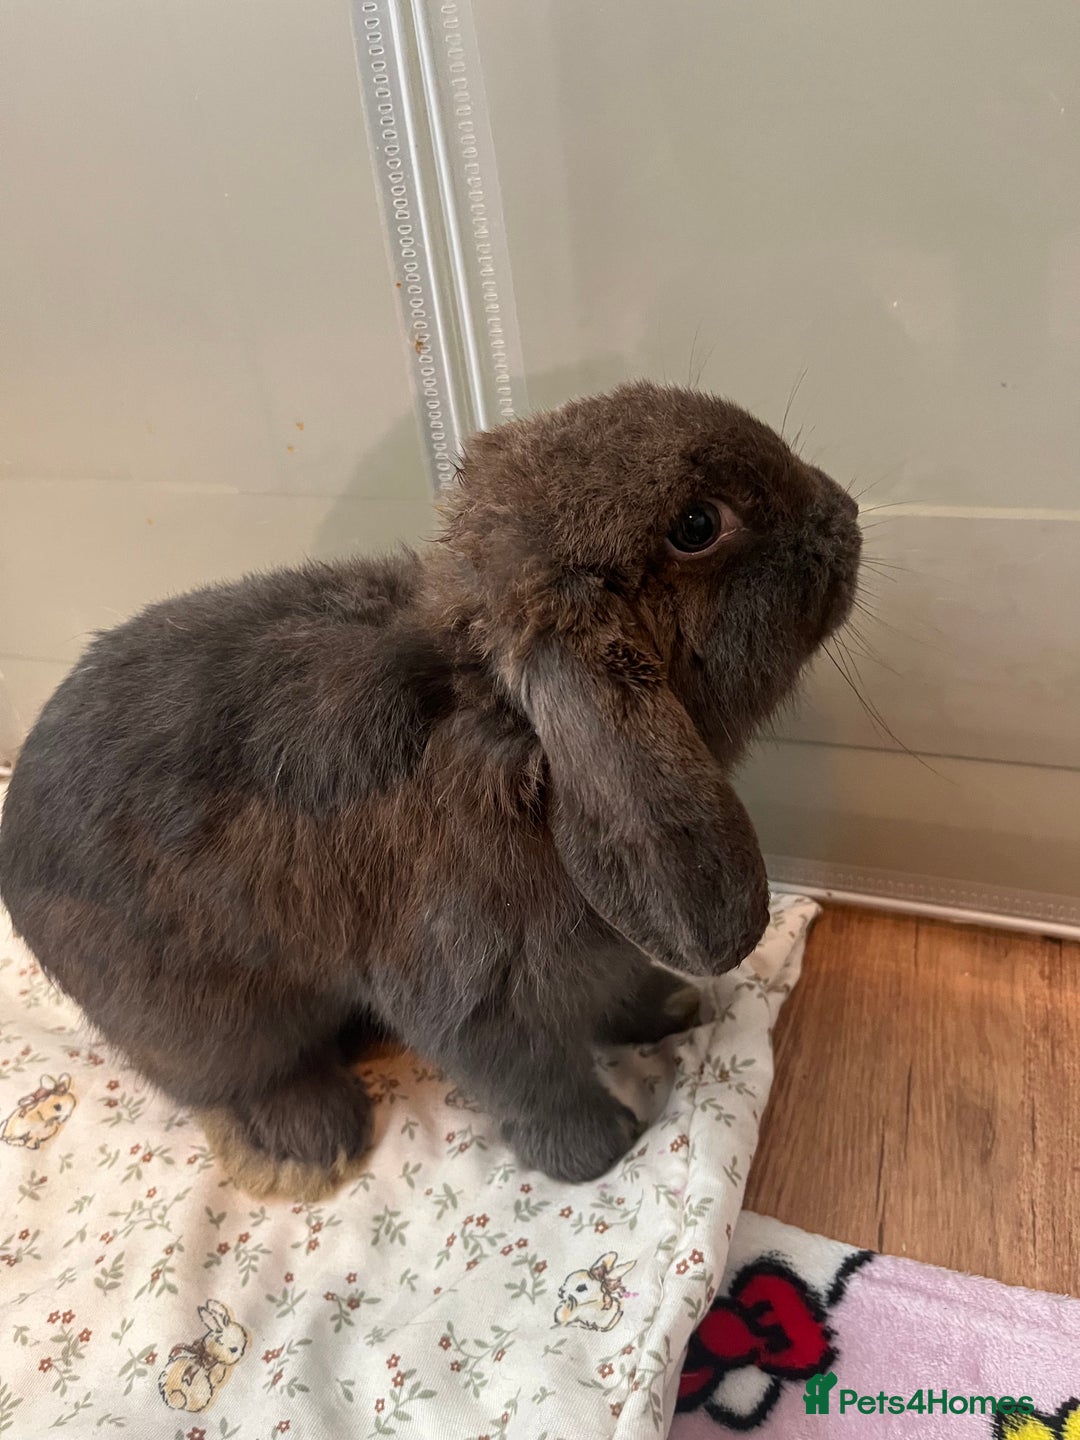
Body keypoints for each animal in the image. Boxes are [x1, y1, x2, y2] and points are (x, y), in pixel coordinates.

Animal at [0, 381, 861, 1186]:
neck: (516, 735)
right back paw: (319, 1136)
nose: (846, 514)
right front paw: (598, 1149)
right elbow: (533, 1081)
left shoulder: (605, 950)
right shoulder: (476, 999)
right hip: (211, 1020)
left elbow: (621, 993)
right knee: (244, 1077)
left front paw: (675, 1006)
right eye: (697, 526)